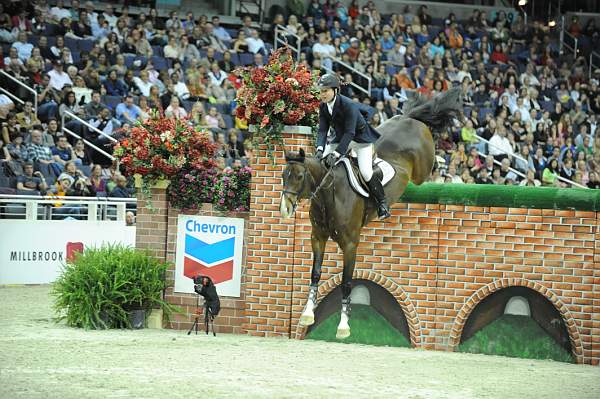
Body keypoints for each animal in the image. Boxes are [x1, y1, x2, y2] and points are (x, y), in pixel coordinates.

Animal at [278, 86, 462, 338]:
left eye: (298, 176)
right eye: (283, 175)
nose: (285, 208)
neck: (328, 194)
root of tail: (410, 118)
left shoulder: (350, 244)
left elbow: (346, 282)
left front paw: (344, 326)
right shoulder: (318, 237)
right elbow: (315, 273)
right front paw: (307, 314)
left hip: (421, 169)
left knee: (427, 171)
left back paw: (444, 168)